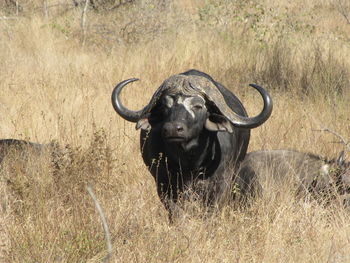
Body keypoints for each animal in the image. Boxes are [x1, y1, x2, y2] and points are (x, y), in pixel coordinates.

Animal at [110, 69, 272, 220]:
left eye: (198, 106)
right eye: (164, 106)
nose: (172, 129)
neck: (190, 161)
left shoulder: (221, 184)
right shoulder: (164, 184)